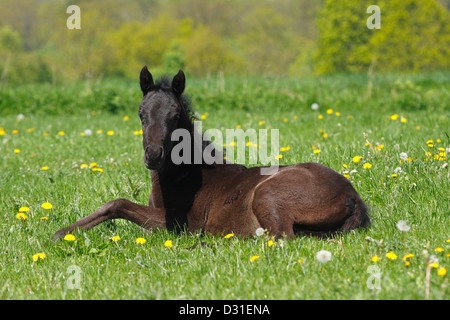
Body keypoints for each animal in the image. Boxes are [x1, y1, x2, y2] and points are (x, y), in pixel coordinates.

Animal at [52, 66, 370, 239]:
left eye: (175, 115)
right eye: (141, 113)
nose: (153, 155)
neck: (185, 176)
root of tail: (353, 197)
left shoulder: (181, 223)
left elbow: (117, 203)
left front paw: (61, 233)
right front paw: (65, 232)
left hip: (267, 195)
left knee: (279, 238)